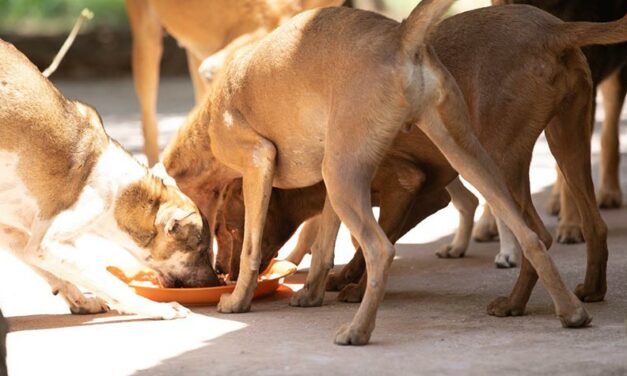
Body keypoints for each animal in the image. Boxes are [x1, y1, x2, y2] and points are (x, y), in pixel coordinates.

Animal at [0, 39, 221, 318]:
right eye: (201, 251)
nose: (217, 282)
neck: (120, 191)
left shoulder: (16, 235)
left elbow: (57, 276)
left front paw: (81, 301)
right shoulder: (48, 244)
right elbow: (114, 285)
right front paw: (158, 308)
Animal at [164, 0, 592, 346]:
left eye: (224, 228)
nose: (221, 273)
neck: (212, 116)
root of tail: (401, 36)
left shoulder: (260, 164)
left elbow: (255, 248)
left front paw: (239, 299)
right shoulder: (327, 189)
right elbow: (323, 248)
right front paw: (311, 296)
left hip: (347, 174)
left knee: (381, 249)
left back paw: (358, 330)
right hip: (466, 158)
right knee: (531, 235)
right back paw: (571, 311)